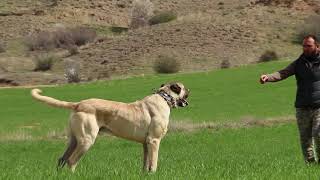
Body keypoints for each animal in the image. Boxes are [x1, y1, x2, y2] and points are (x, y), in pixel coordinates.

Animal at [29, 82, 189, 172]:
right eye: (184, 89)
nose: (190, 92)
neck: (164, 98)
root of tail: (79, 104)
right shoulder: (154, 140)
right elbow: (153, 162)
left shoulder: (145, 143)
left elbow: (146, 163)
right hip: (87, 140)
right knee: (71, 161)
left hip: (74, 140)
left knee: (62, 159)